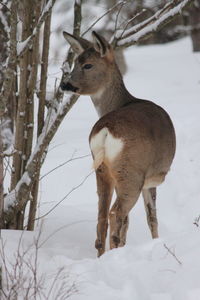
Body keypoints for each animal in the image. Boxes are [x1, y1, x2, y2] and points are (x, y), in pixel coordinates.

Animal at [60, 31, 176, 258]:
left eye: (87, 64)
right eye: (76, 63)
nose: (64, 85)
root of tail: (106, 129)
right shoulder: (150, 179)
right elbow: (151, 217)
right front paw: (157, 243)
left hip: (102, 170)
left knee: (102, 217)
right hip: (131, 172)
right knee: (116, 213)